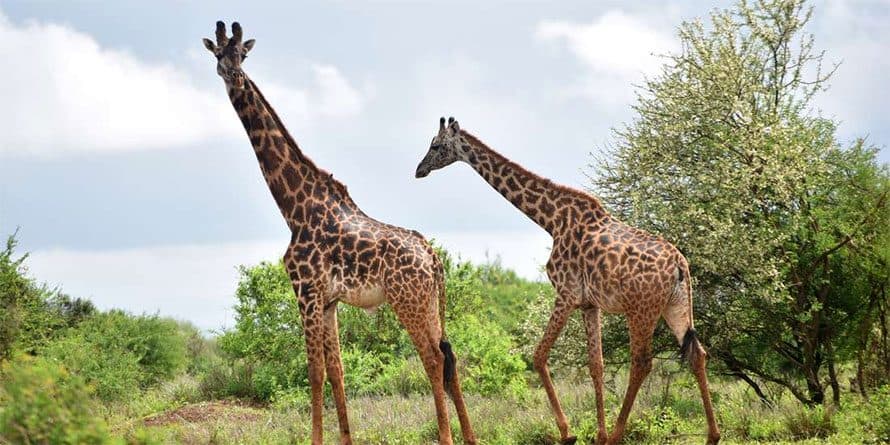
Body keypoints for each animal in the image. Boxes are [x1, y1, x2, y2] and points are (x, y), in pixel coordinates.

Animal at [203, 23, 476, 445]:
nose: (231, 75)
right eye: (218, 54)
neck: (294, 209)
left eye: (242, 56)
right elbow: (337, 372)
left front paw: (315, 438)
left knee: (431, 358)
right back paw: (470, 437)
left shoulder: (306, 291)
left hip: (407, 300)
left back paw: (446, 436)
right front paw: (345, 438)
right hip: (430, 301)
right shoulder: (329, 300)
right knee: (449, 357)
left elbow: (313, 372)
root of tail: (434, 259)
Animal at [415, 117, 721, 445]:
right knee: (697, 355)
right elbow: (596, 365)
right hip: (676, 305)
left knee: (641, 362)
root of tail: (679, 265)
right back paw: (712, 435)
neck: (551, 219)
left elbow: (538, 356)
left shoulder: (566, 293)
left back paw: (618, 435)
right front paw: (597, 434)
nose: (419, 169)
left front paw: (568, 432)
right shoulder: (589, 304)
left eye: (436, 146)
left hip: (641, 310)